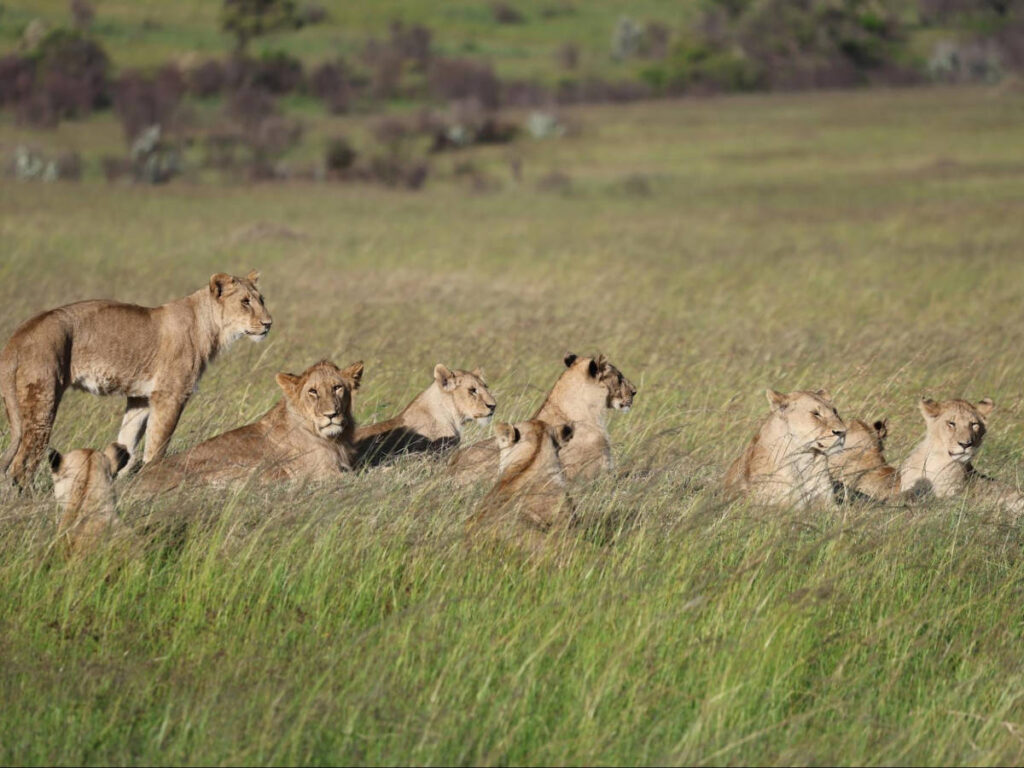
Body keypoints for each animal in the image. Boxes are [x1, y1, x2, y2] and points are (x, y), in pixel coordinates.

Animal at [1, 271, 272, 489]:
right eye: (245, 302)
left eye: (262, 299)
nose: (268, 324)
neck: (209, 327)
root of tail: (20, 333)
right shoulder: (170, 395)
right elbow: (157, 446)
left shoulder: (140, 398)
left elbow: (127, 443)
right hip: (43, 402)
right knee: (22, 464)